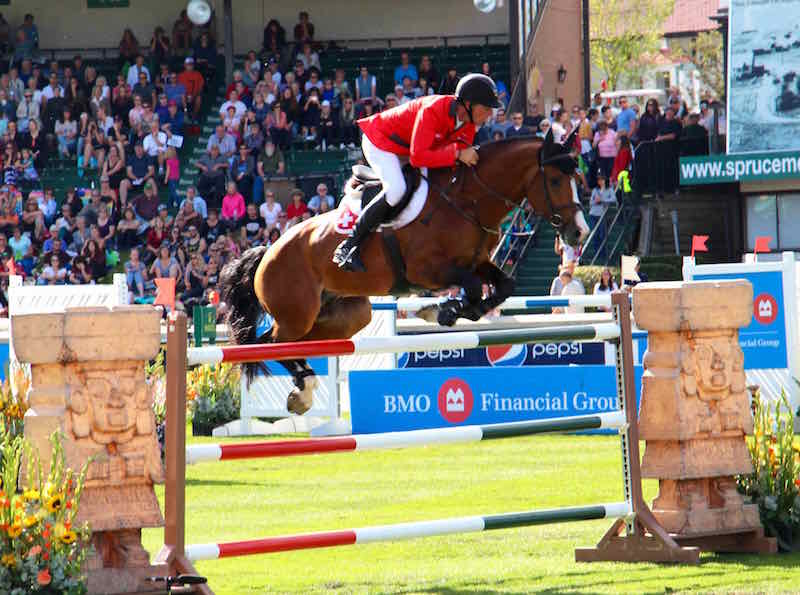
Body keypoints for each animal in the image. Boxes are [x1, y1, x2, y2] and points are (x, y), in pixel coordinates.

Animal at [220, 132, 588, 414]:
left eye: (579, 179)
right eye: (556, 180)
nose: (579, 232)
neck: (468, 200)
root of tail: (267, 251)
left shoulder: (477, 261)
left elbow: (503, 286)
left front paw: (449, 311)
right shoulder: (428, 270)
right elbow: (470, 286)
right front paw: (441, 311)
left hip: (347, 315)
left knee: (298, 344)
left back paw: (303, 388)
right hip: (297, 312)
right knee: (272, 343)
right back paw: (305, 389)